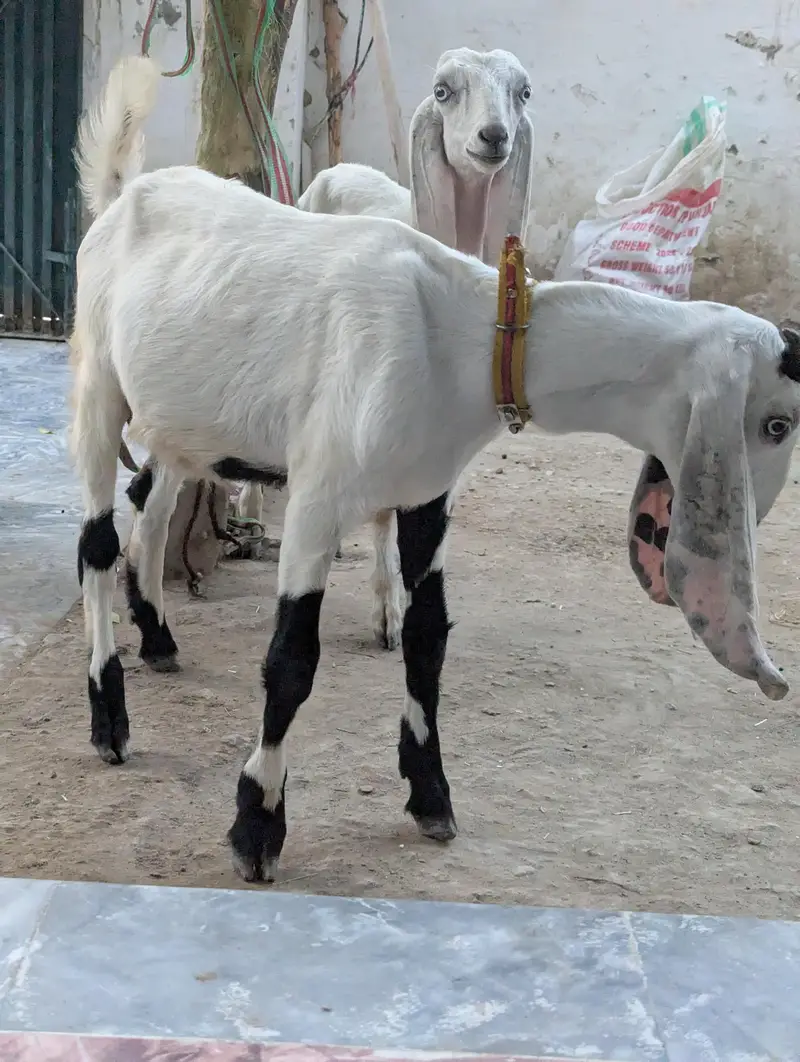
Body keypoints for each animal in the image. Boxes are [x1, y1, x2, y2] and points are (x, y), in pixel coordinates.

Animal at [238, 47, 536, 649]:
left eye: (523, 92)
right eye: (443, 90)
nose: (494, 136)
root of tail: (337, 167)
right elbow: (381, 515)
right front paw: (387, 611)